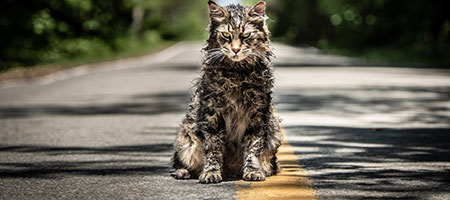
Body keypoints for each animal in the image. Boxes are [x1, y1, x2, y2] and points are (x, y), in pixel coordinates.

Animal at [172, 0, 282, 184]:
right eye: (226, 35)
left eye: (246, 36)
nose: (235, 50)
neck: (237, 74)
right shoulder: (212, 113)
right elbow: (213, 148)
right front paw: (211, 173)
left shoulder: (257, 113)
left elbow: (253, 147)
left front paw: (253, 171)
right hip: (186, 138)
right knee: (180, 162)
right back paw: (183, 172)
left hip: (275, 133)